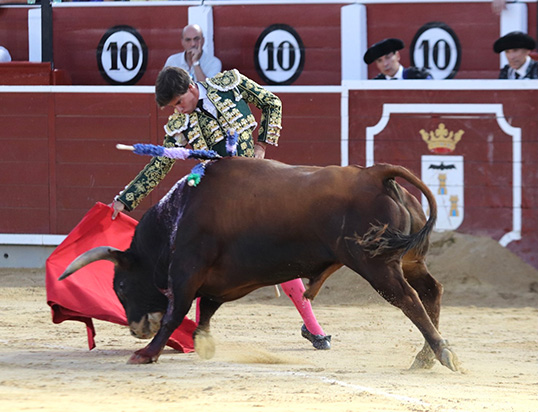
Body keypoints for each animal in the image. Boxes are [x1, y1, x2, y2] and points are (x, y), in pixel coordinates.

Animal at [59, 157, 459, 371]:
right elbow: (206, 309)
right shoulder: (222, 280)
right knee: (431, 291)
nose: (136, 329)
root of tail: (375, 173)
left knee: (410, 301)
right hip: (407, 260)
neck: (179, 213)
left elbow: (178, 311)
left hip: (377, 265)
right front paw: (203, 343)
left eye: (121, 286)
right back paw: (425, 358)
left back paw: (443, 354)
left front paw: (146, 353)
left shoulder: (186, 271)